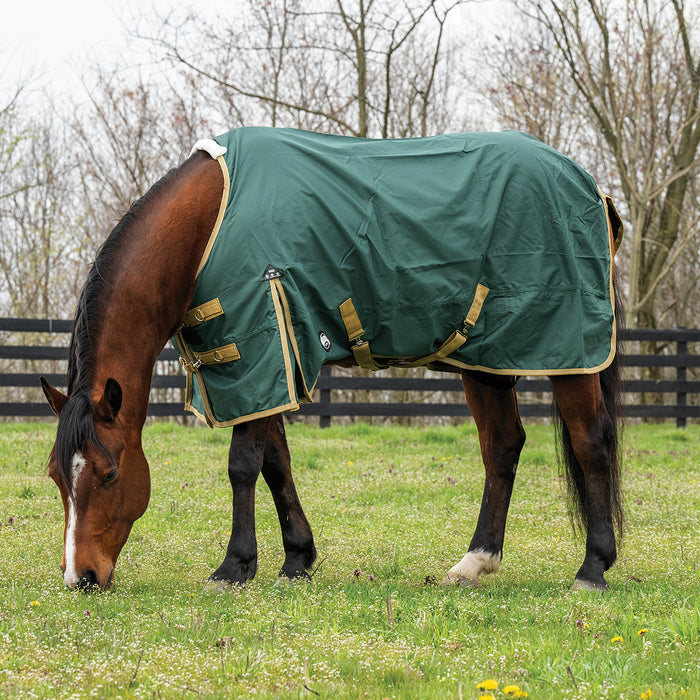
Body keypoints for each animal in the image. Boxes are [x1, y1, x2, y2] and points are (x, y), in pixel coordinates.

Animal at [40, 127, 624, 593]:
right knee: (502, 448)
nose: (80, 577)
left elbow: (242, 465)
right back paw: (474, 563)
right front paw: (297, 559)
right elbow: (275, 463)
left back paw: (592, 568)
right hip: (488, 362)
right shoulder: (263, 368)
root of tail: (588, 185)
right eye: (55, 477)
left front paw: (234, 567)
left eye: (110, 474)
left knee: (590, 444)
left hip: (572, 354)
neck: (209, 224)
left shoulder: (260, 350)